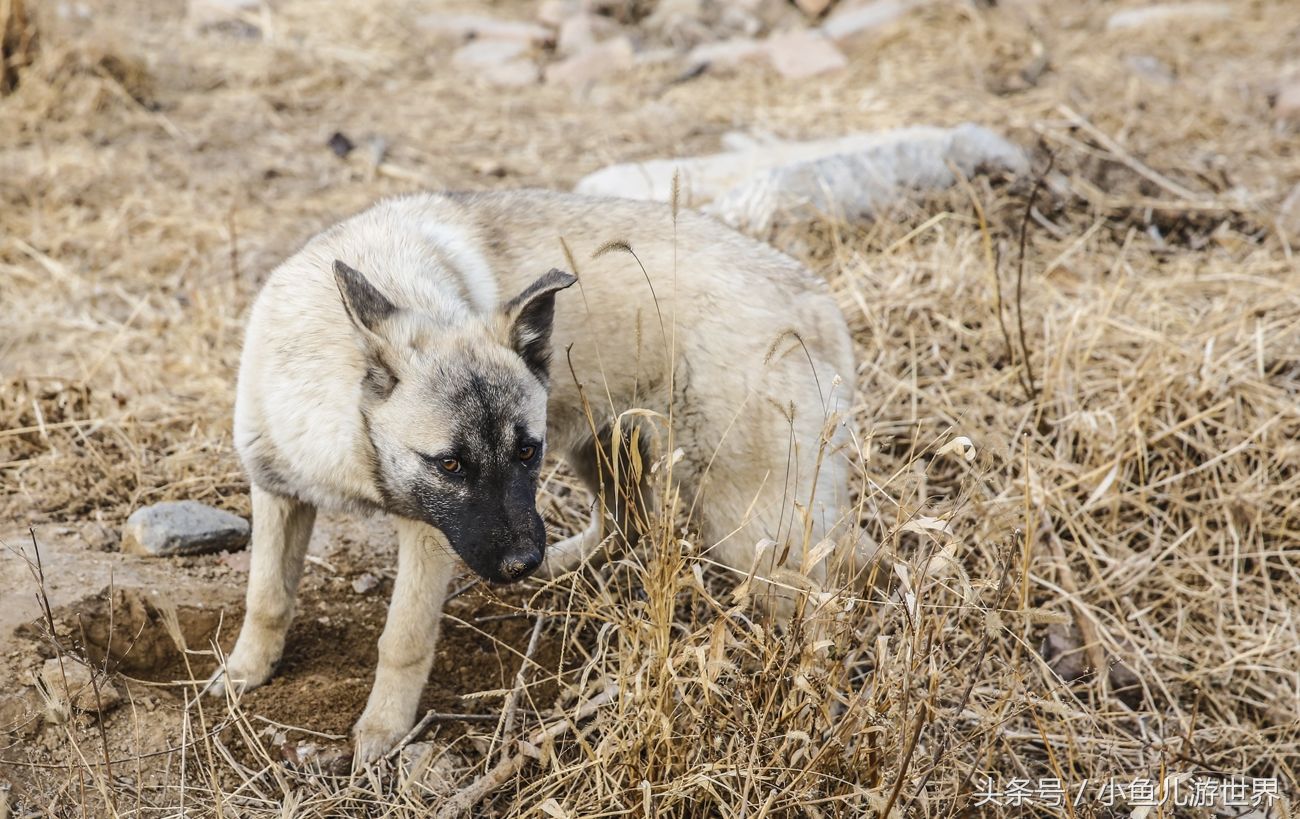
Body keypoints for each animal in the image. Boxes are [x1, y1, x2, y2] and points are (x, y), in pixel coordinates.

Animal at [210, 191, 863, 764]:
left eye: (526, 452)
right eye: (451, 464)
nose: (520, 563)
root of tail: (815, 297)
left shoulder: (429, 536)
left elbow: (403, 641)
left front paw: (381, 731)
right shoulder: (277, 494)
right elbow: (266, 597)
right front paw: (245, 672)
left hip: (745, 523)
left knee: (832, 609)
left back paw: (817, 717)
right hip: (608, 449)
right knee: (628, 526)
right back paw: (562, 566)